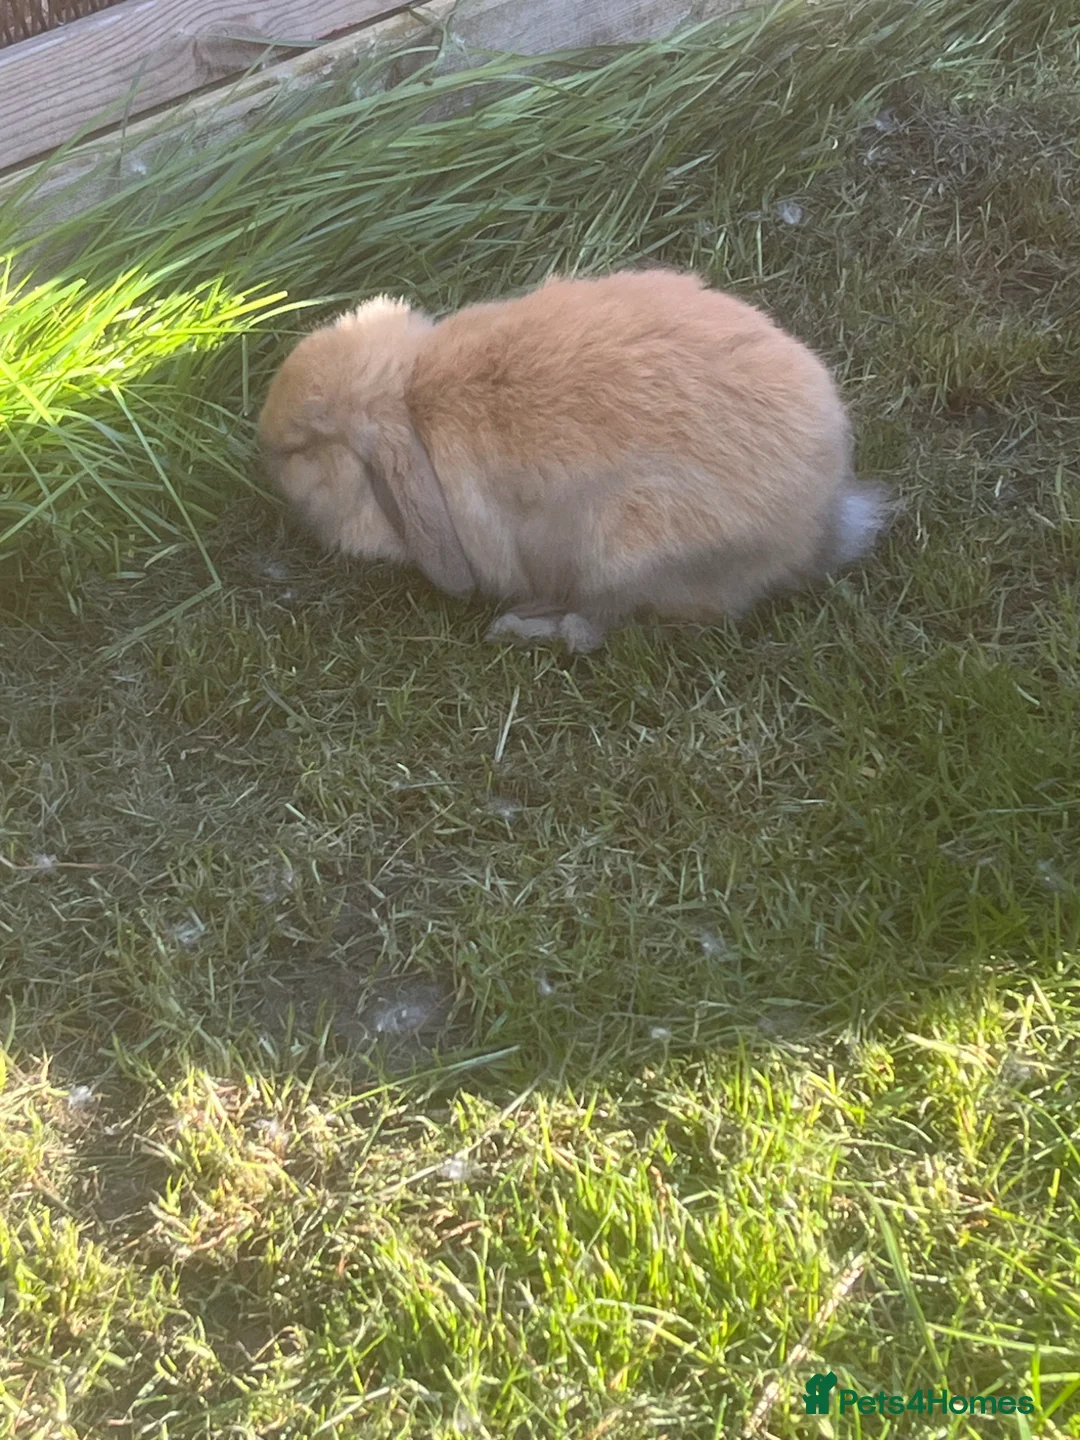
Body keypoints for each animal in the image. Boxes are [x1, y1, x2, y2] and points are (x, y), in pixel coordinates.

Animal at [257, 268, 889, 652]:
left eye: (300, 447)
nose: (263, 441)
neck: (410, 402)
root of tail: (818, 525)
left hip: (623, 545)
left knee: (598, 627)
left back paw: (524, 625)